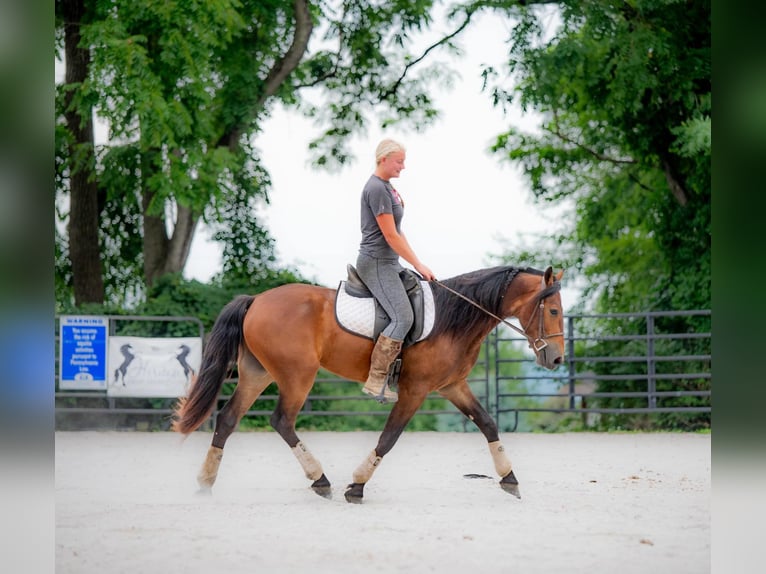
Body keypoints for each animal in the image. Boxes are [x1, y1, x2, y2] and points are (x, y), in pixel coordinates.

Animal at [176, 266, 568, 504]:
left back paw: (205, 482)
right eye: (552, 311)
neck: (453, 317)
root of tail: (256, 299)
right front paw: (358, 485)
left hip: (258, 374)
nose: (557, 360)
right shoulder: (415, 390)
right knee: (282, 421)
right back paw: (320, 480)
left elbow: (487, 423)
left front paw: (510, 478)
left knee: (228, 418)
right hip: (297, 375)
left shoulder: (452, 386)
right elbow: (388, 438)